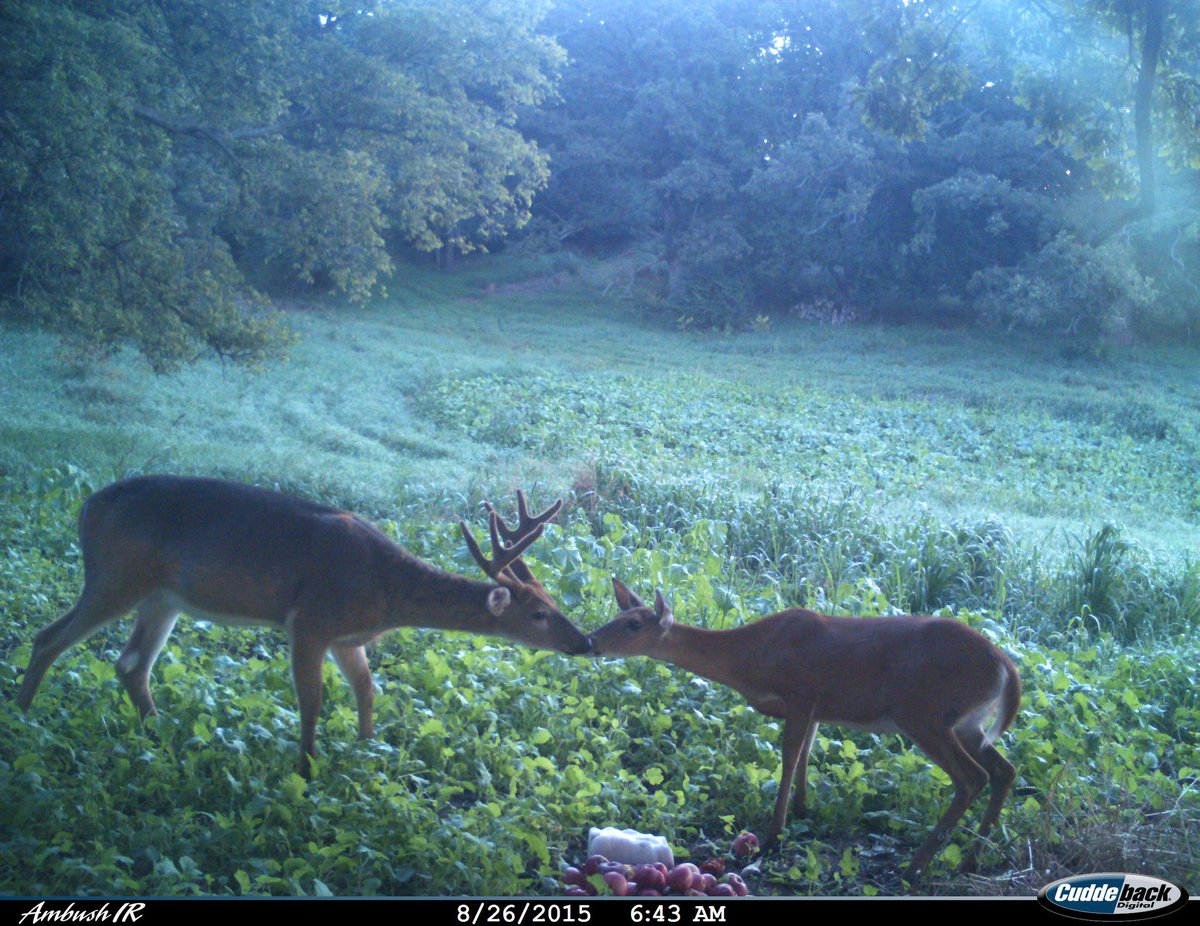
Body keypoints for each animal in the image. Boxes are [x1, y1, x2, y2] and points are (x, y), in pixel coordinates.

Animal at [15, 475, 591, 777]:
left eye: (554, 600)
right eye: (538, 615)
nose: (583, 641)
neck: (386, 590)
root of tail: (87, 506)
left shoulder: (347, 638)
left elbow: (367, 690)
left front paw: (367, 750)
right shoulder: (311, 621)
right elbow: (312, 700)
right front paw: (307, 768)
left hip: (163, 598)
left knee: (130, 663)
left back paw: (161, 734)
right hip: (115, 576)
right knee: (48, 638)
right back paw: (22, 719)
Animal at [589, 579, 1021, 883]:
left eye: (633, 624)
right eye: (614, 618)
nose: (591, 640)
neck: (749, 656)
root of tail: (1005, 666)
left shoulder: (801, 695)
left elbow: (788, 755)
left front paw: (772, 835)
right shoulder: (817, 708)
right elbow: (805, 757)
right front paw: (801, 812)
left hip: (924, 713)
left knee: (972, 777)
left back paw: (915, 867)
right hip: (968, 725)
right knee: (1005, 770)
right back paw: (970, 860)